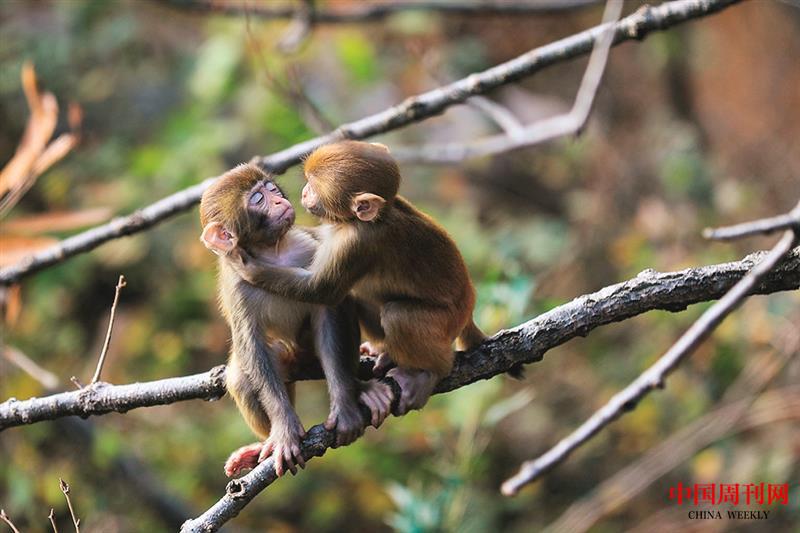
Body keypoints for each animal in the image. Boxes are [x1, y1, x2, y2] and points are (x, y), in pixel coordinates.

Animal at [200, 163, 394, 478]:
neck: (274, 250)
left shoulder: (311, 248)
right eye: (258, 199)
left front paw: (344, 405)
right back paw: (258, 448)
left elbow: (328, 310)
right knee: (243, 376)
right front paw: (284, 430)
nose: (280, 201)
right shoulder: (236, 284)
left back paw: (360, 387)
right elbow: (252, 345)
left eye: (272, 189)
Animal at [228, 141, 484, 416]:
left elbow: (321, 291)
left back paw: (428, 373)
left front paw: (248, 267)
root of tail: (469, 304)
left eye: (314, 187)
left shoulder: (357, 243)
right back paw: (384, 350)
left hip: (447, 321)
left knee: (397, 316)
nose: (304, 192)